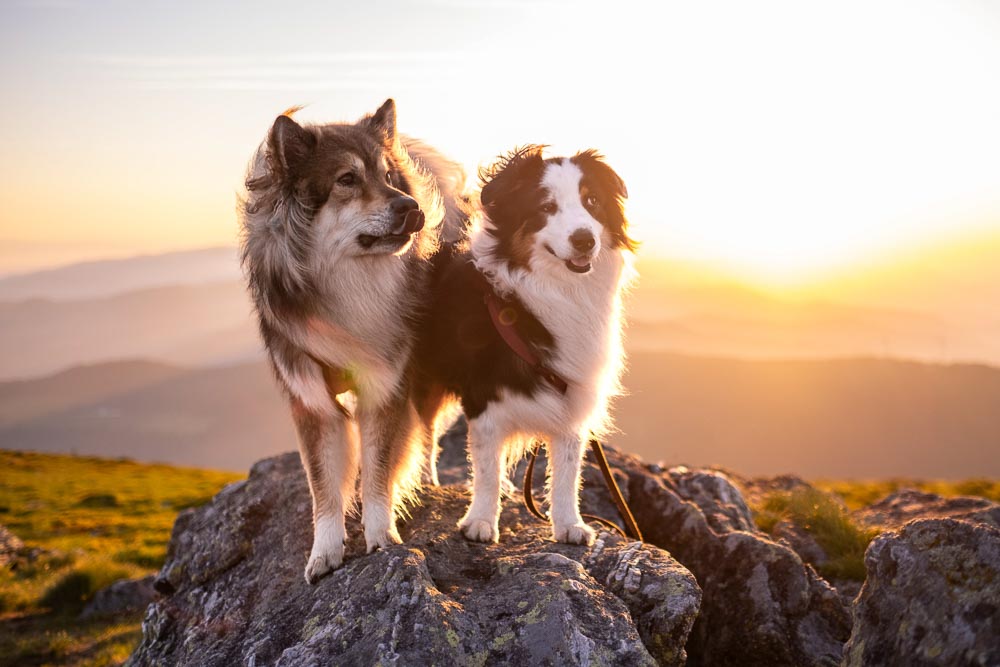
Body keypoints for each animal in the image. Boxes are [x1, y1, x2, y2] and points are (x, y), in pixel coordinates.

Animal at [239, 100, 468, 584]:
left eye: (388, 175)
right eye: (347, 179)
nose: (411, 207)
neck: (349, 289)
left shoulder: (386, 388)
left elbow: (378, 471)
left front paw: (381, 534)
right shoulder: (311, 401)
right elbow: (324, 487)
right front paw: (324, 552)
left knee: (427, 430)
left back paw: (427, 479)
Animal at [416, 145, 636, 544]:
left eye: (592, 202)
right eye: (546, 207)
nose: (585, 240)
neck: (558, 290)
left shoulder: (571, 396)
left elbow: (567, 472)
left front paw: (569, 524)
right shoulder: (484, 397)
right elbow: (485, 466)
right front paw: (480, 521)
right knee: (425, 428)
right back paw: (426, 478)